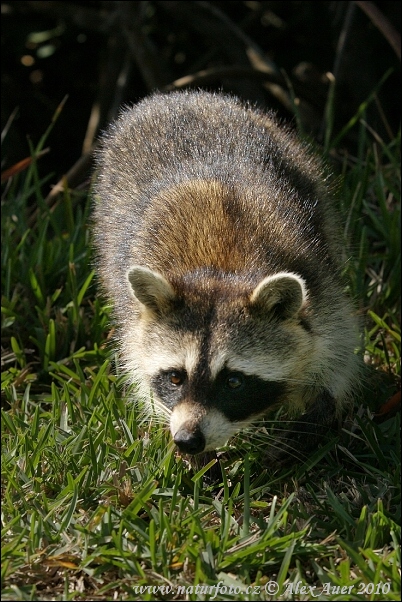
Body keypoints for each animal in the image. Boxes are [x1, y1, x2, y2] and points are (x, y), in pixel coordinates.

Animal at [93, 89, 362, 458]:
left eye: (234, 381)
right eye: (175, 377)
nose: (187, 440)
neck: (221, 271)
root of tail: (174, 95)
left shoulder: (320, 287)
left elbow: (334, 354)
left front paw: (308, 428)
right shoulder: (136, 329)